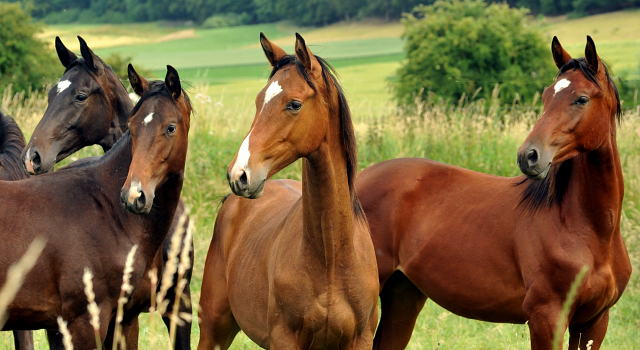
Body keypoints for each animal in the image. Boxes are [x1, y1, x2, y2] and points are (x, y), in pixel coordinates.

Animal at [199, 33, 380, 350]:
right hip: (213, 329)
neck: (332, 256)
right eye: (259, 101)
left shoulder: (361, 340)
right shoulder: (285, 339)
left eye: (294, 104)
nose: (239, 175)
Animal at [358, 35, 632, 350]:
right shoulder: (546, 319)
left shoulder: (594, 322)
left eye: (582, 99)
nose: (528, 156)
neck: (587, 229)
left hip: (403, 295)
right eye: (546, 97)